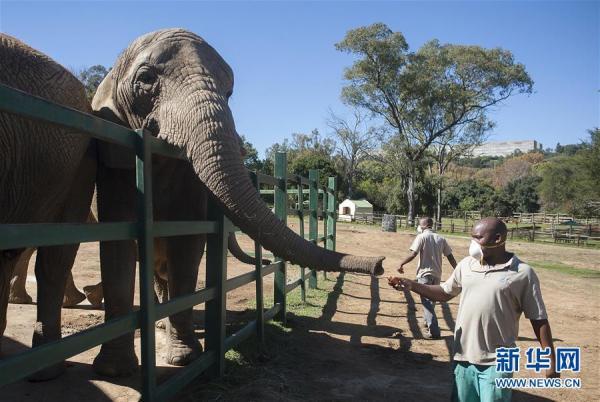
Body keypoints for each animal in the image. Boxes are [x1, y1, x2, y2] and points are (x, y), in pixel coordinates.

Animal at [91, 28, 386, 376]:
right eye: (146, 78)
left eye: (229, 92)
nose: (381, 265)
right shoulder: (115, 158)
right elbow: (118, 242)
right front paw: (114, 370)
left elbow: (187, 246)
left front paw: (184, 359)